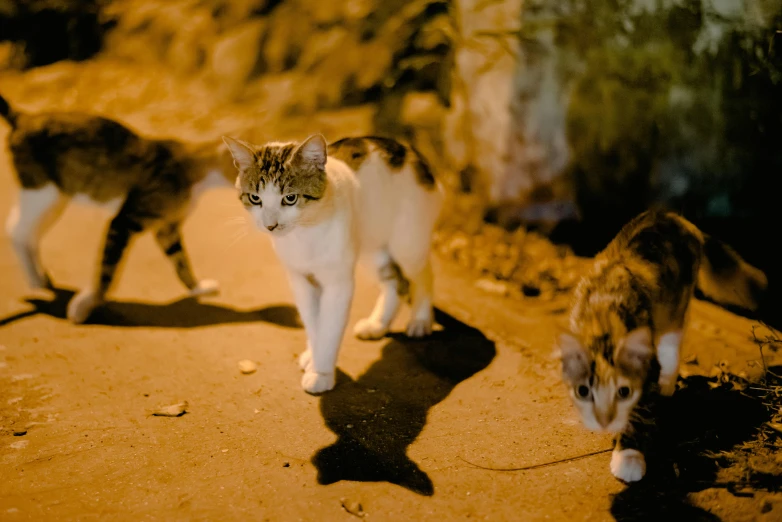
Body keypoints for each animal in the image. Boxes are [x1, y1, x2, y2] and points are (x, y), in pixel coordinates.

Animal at [1, 92, 237, 320]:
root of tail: (24, 117)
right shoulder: (124, 221)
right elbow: (107, 270)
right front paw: (86, 304)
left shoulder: (167, 229)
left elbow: (181, 262)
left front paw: (198, 288)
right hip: (43, 193)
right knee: (16, 230)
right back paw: (35, 279)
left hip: (56, 198)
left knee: (29, 232)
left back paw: (40, 276)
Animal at [225, 133, 448, 390]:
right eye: (255, 198)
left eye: (290, 198)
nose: (270, 225)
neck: (304, 233)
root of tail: (408, 150)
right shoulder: (301, 281)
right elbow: (314, 324)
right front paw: (314, 357)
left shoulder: (338, 284)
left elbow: (329, 328)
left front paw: (321, 373)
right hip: (371, 249)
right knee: (395, 283)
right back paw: (378, 325)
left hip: (408, 244)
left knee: (424, 275)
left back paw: (421, 320)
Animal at [560, 207, 768, 480]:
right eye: (585, 391)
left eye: (623, 391)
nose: (605, 420)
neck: (602, 316)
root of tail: (675, 217)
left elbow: (638, 416)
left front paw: (628, 457)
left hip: (675, 308)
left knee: (672, 343)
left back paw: (667, 384)